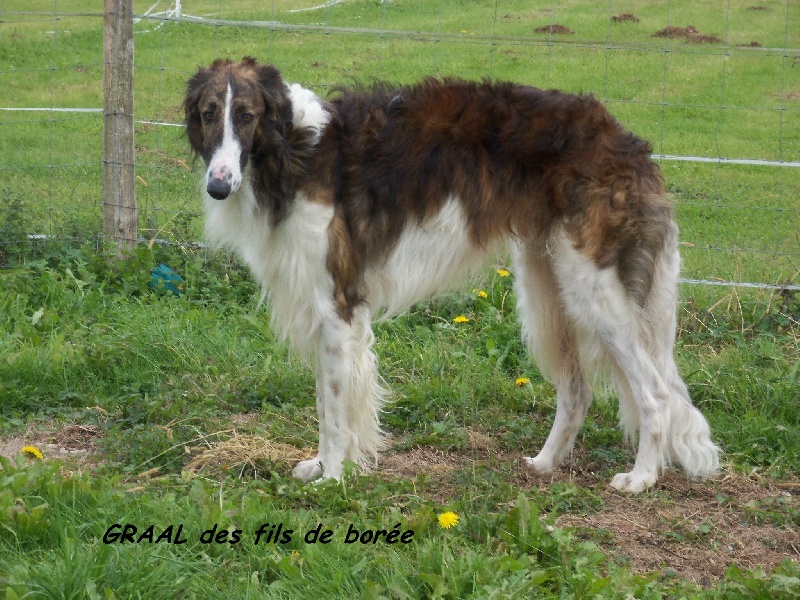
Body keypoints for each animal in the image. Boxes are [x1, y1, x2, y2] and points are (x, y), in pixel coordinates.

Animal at [183, 57, 720, 493]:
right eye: (209, 113)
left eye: (246, 115)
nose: (218, 185)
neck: (294, 150)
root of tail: (629, 143)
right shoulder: (323, 307)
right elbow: (325, 401)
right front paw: (322, 466)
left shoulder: (338, 302)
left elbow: (335, 409)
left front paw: (333, 477)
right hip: (547, 289)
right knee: (577, 392)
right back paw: (544, 464)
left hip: (596, 292)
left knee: (655, 393)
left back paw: (642, 477)